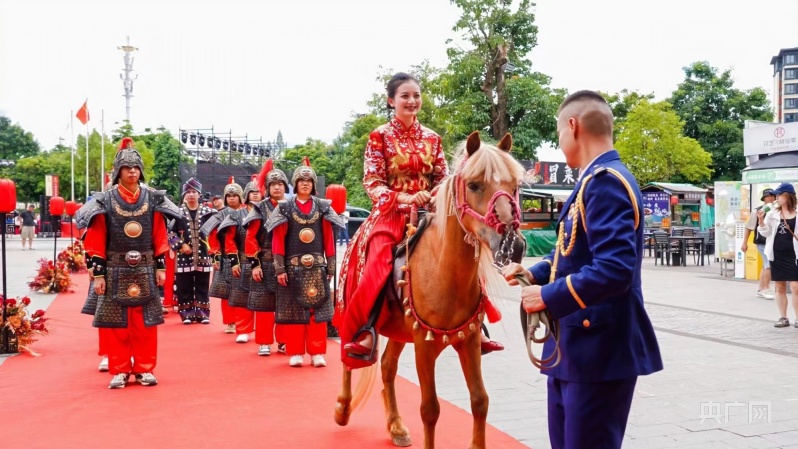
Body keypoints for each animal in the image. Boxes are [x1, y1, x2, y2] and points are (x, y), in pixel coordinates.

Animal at [334, 131, 528, 448]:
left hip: (399, 329)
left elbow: (480, 400)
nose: (513, 245)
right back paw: (342, 407)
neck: (444, 272)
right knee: (348, 356)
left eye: (515, 186)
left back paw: (396, 427)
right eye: (474, 185)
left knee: (387, 367)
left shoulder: (469, 340)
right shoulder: (423, 345)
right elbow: (430, 409)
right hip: (352, 310)